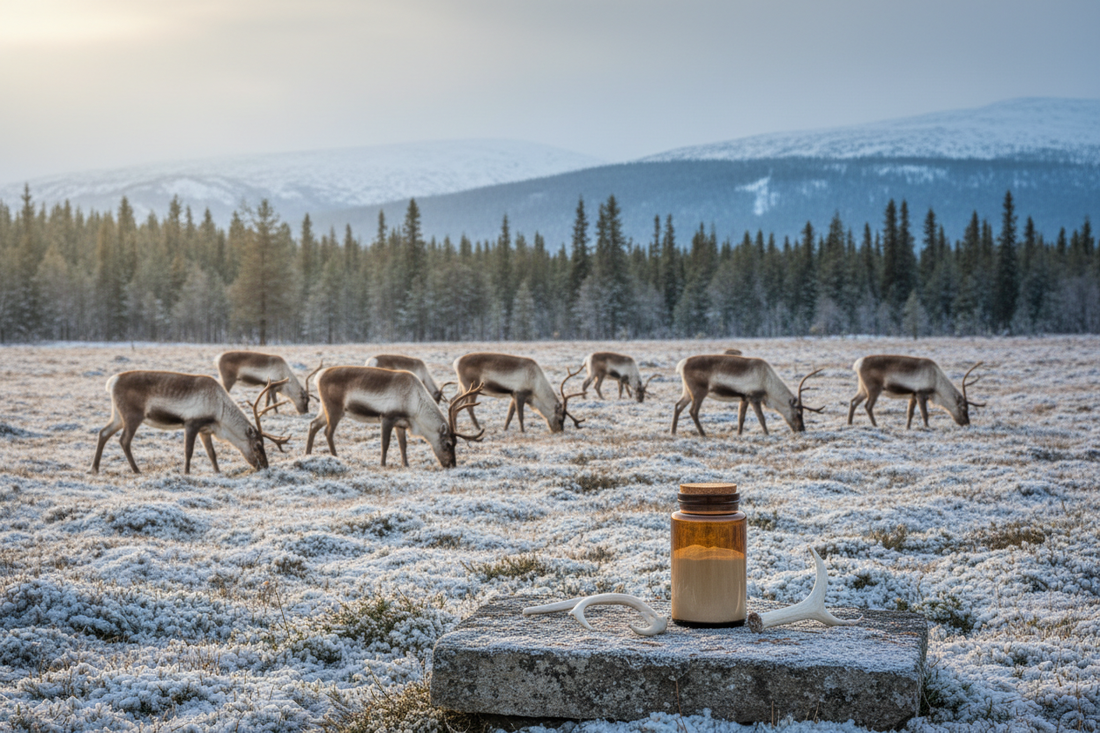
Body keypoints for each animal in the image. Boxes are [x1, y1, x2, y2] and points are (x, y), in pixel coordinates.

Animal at [92, 372, 289, 474]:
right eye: (257, 446)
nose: (265, 466)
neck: (220, 413)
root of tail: (112, 381)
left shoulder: (205, 430)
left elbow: (212, 454)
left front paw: (218, 472)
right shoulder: (192, 423)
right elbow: (189, 452)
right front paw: (186, 473)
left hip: (118, 416)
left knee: (103, 432)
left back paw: (95, 468)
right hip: (133, 416)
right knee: (124, 440)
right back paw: (136, 470)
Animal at [304, 367, 484, 467]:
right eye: (447, 444)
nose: (452, 465)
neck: (414, 403)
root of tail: (318, 377)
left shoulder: (400, 423)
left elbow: (403, 445)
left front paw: (406, 464)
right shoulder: (387, 418)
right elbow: (385, 444)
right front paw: (382, 464)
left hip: (325, 409)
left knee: (313, 424)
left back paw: (308, 454)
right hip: (334, 409)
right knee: (328, 432)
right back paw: (335, 457)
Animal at [452, 353, 585, 433]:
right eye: (560, 418)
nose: (559, 431)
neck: (536, 385)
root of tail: (456, 362)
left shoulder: (514, 395)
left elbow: (509, 415)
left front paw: (505, 429)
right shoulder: (520, 393)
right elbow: (520, 416)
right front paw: (523, 431)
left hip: (462, 388)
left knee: (453, 402)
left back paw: (455, 427)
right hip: (471, 387)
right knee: (468, 407)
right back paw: (478, 427)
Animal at [671, 354, 822, 437]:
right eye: (798, 414)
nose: (802, 430)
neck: (768, 384)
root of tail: (681, 364)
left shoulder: (743, 398)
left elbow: (741, 419)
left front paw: (739, 434)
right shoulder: (753, 397)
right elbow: (761, 418)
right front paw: (767, 434)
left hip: (687, 392)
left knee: (678, 405)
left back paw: (673, 432)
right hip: (698, 392)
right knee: (693, 411)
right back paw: (703, 434)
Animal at [847, 356, 984, 428]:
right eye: (963, 408)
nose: (967, 423)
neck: (937, 384)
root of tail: (858, 364)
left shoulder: (912, 394)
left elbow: (910, 414)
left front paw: (907, 428)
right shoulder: (921, 393)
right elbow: (925, 414)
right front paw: (927, 427)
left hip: (863, 388)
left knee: (853, 401)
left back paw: (849, 423)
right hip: (874, 388)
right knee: (867, 406)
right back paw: (875, 425)